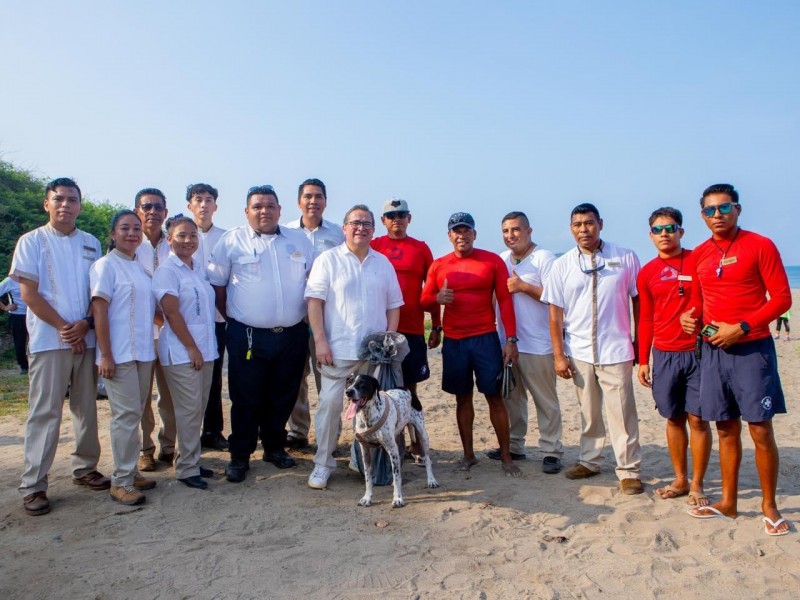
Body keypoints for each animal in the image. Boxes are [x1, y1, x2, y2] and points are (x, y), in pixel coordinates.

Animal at [342, 376, 438, 506]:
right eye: (349, 382)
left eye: (362, 383)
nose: (349, 392)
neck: (367, 416)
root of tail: (406, 388)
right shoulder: (366, 451)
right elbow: (368, 478)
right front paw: (367, 498)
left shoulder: (392, 450)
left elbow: (396, 476)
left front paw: (398, 498)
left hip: (422, 434)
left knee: (427, 459)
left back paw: (431, 480)